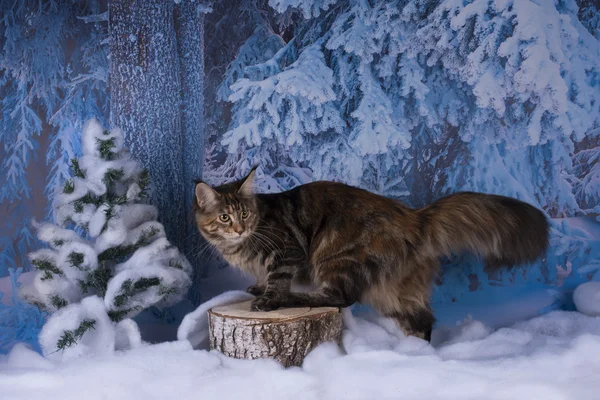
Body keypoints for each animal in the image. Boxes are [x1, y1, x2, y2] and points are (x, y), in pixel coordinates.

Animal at [195, 167, 552, 342]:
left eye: (244, 214)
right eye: (225, 217)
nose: (239, 228)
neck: (238, 245)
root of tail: (415, 216)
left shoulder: (287, 251)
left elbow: (277, 279)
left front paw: (268, 298)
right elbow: (261, 278)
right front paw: (257, 287)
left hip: (334, 255)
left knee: (340, 297)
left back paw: (294, 298)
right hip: (395, 291)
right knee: (422, 319)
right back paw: (416, 354)